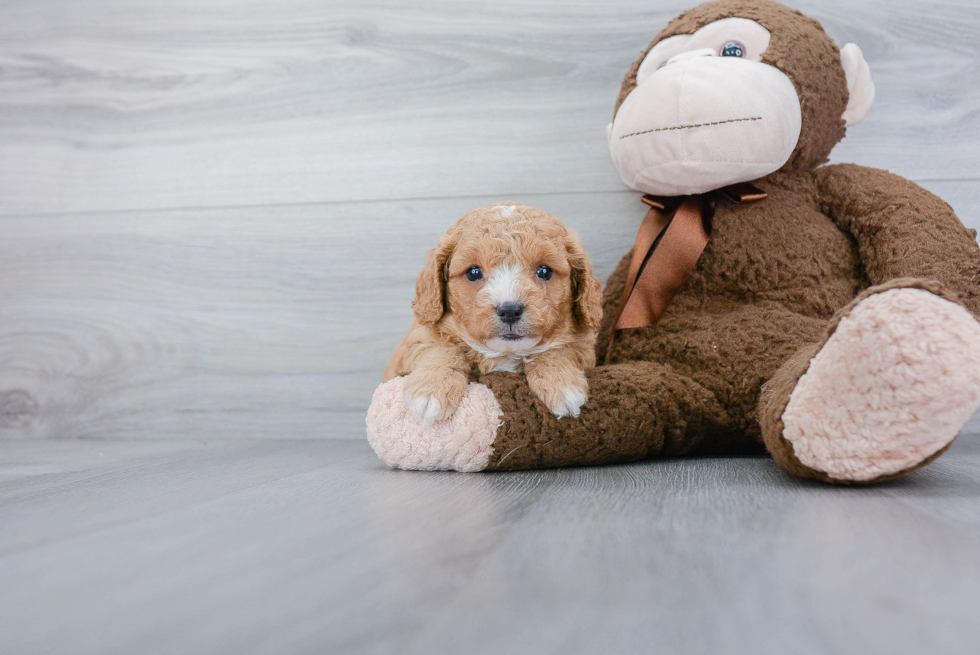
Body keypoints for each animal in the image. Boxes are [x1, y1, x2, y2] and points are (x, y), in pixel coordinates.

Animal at [384, 202, 604, 422]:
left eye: (544, 271)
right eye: (474, 272)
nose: (510, 310)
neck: (502, 354)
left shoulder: (585, 349)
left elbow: (556, 349)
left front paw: (562, 384)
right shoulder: (417, 340)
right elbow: (441, 348)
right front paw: (432, 390)